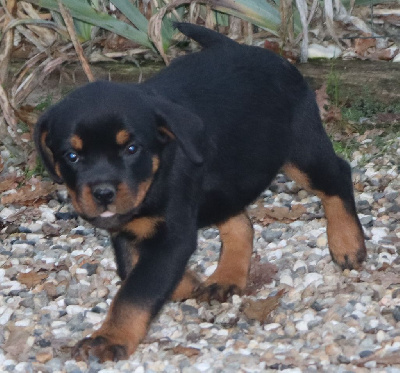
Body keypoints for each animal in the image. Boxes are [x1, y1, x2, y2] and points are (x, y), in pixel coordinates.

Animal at [34, 22, 366, 360]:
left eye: (131, 149)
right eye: (71, 156)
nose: (103, 193)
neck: (158, 167)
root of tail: (247, 48)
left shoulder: (171, 234)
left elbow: (135, 291)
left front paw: (109, 338)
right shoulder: (129, 229)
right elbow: (131, 268)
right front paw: (188, 283)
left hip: (301, 150)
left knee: (338, 176)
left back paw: (347, 243)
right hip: (228, 180)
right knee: (240, 223)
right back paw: (226, 278)